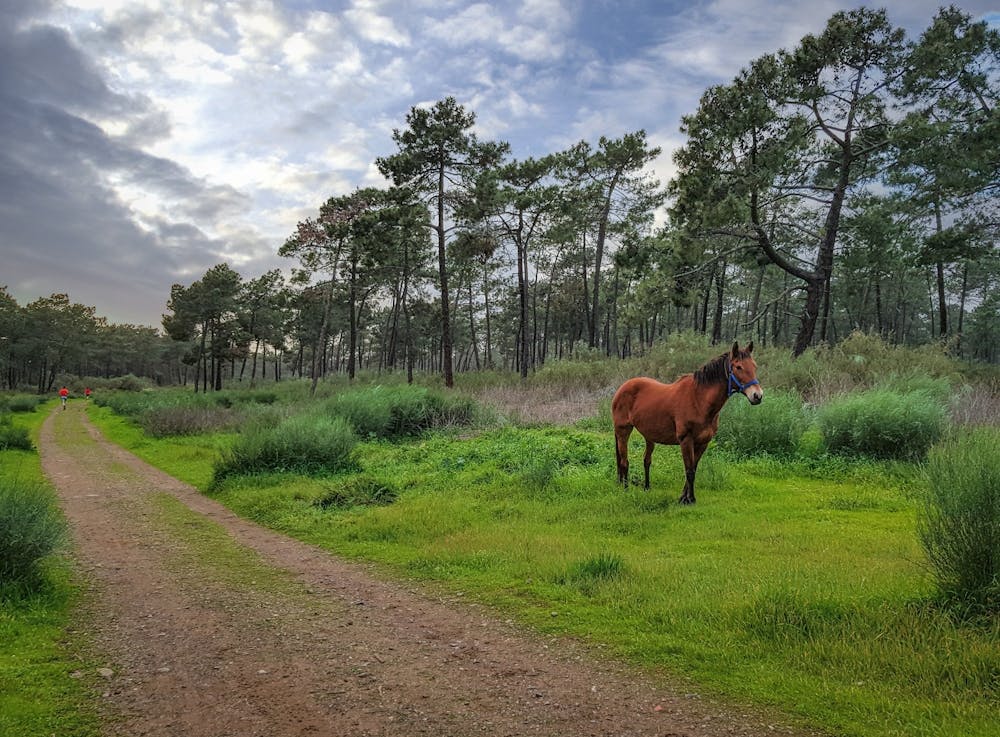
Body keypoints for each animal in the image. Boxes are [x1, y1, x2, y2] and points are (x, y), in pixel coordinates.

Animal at [612, 342, 762, 504]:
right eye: (738, 367)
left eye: (754, 366)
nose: (757, 395)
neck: (699, 400)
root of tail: (622, 388)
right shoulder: (686, 440)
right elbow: (689, 470)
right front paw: (690, 499)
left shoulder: (702, 443)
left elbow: (693, 468)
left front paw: (683, 497)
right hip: (623, 431)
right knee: (624, 462)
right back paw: (626, 490)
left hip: (649, 436)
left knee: (646, 460)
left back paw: (646, 487)